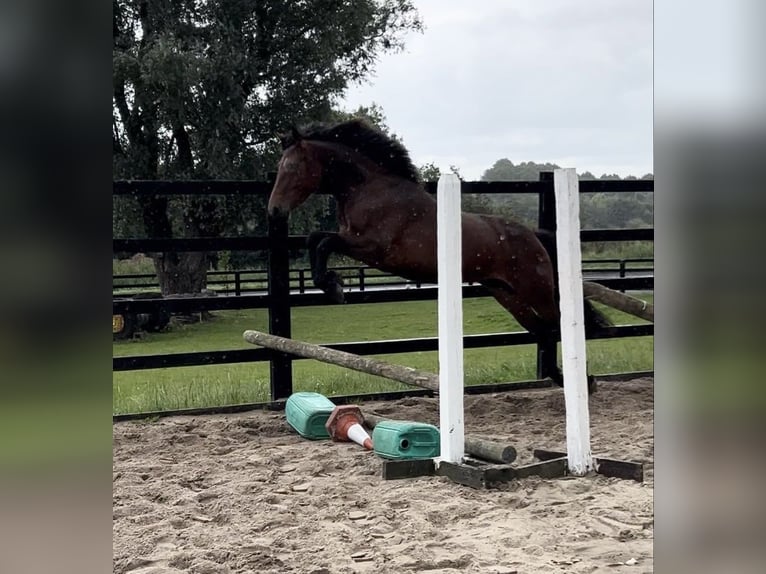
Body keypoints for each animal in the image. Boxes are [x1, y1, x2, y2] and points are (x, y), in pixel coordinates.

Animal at [270, 121, 612, 392]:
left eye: (291, 168)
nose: (274, 211)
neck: (369, 189)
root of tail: (533, 236)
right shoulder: (356, 243)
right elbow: (317, 239)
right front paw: (331, 284)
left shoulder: (372, 249)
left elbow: (324, 242)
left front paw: (334, 286)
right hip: (508, 296)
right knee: (544, 331)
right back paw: (569, 380)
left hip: (536, 292)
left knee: (561, 326)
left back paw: (583, 381)